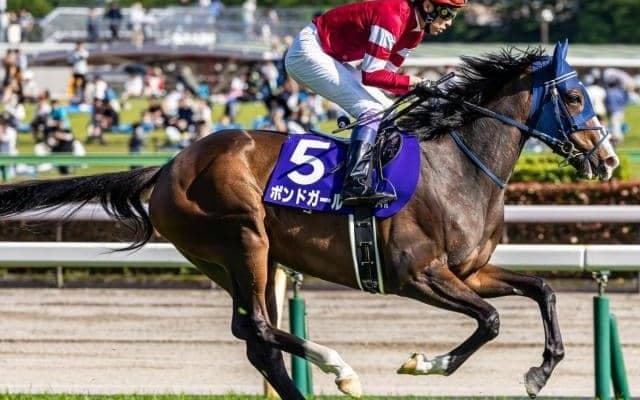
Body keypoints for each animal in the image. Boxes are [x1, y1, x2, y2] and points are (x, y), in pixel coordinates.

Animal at [0, 41, 619, 399]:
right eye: (575, 97)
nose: (609, 159)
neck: (458, 168)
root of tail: (171, 164)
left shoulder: (467, 272)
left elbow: (541, 290)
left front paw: (540, 371)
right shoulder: (417, 275)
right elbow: (490, 321)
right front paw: (425, 363)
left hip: (235, 259)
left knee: (255, 339)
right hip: (242, 237)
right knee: (260, 328)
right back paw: (339, 367)